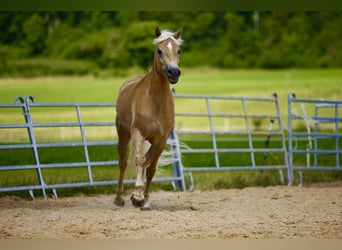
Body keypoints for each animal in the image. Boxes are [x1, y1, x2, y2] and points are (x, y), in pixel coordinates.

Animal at [113, 26, 183, 211]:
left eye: (178, 50)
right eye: (159, 50)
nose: (174, 72)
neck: (155, 101)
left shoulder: (161, 140)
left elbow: (150, 168)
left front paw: (144, 201)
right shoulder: (138, 133)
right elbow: (139, 160)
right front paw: (137, 196)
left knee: (144, 163)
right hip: (123, 133)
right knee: (123, 162)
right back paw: (119, 199)